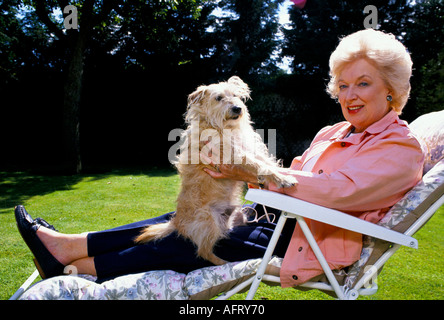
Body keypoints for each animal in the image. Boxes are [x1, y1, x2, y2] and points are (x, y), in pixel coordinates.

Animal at [135, 75, 294, 264]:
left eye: (236, 95)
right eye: (218, 98)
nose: (237, 108)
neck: (224, 127)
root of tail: (177, 222)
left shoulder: (250, 149)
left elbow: (267, 163)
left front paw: (283, 175)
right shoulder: (235, 154)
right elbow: (259, 166)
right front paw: (284, 179)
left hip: (239, 216)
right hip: (210, 222)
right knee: (203, 251)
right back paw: (223, 263)